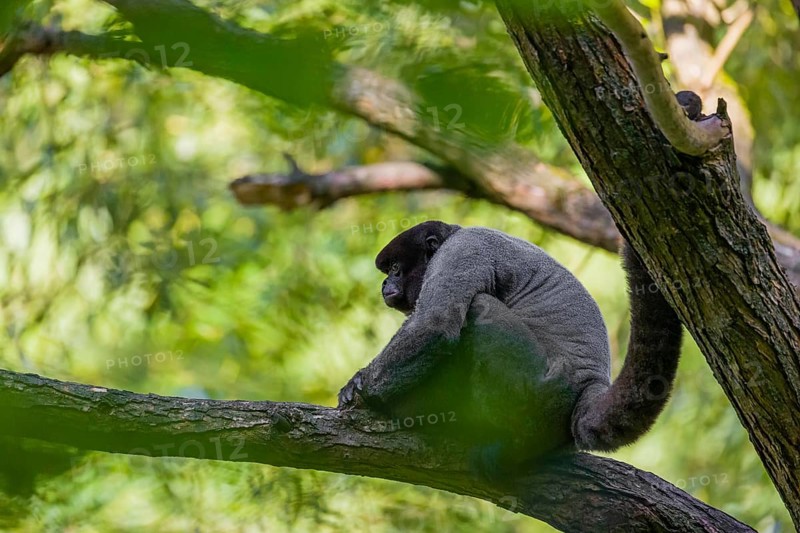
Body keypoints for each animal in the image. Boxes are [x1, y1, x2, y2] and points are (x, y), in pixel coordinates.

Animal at [337, 221, 683, 473]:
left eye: (396, 267)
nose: (385, 284)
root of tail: (590, 384)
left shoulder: (463, 250)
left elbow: (435, 324)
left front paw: (360, 392)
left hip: (539, 387)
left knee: (480, 307)